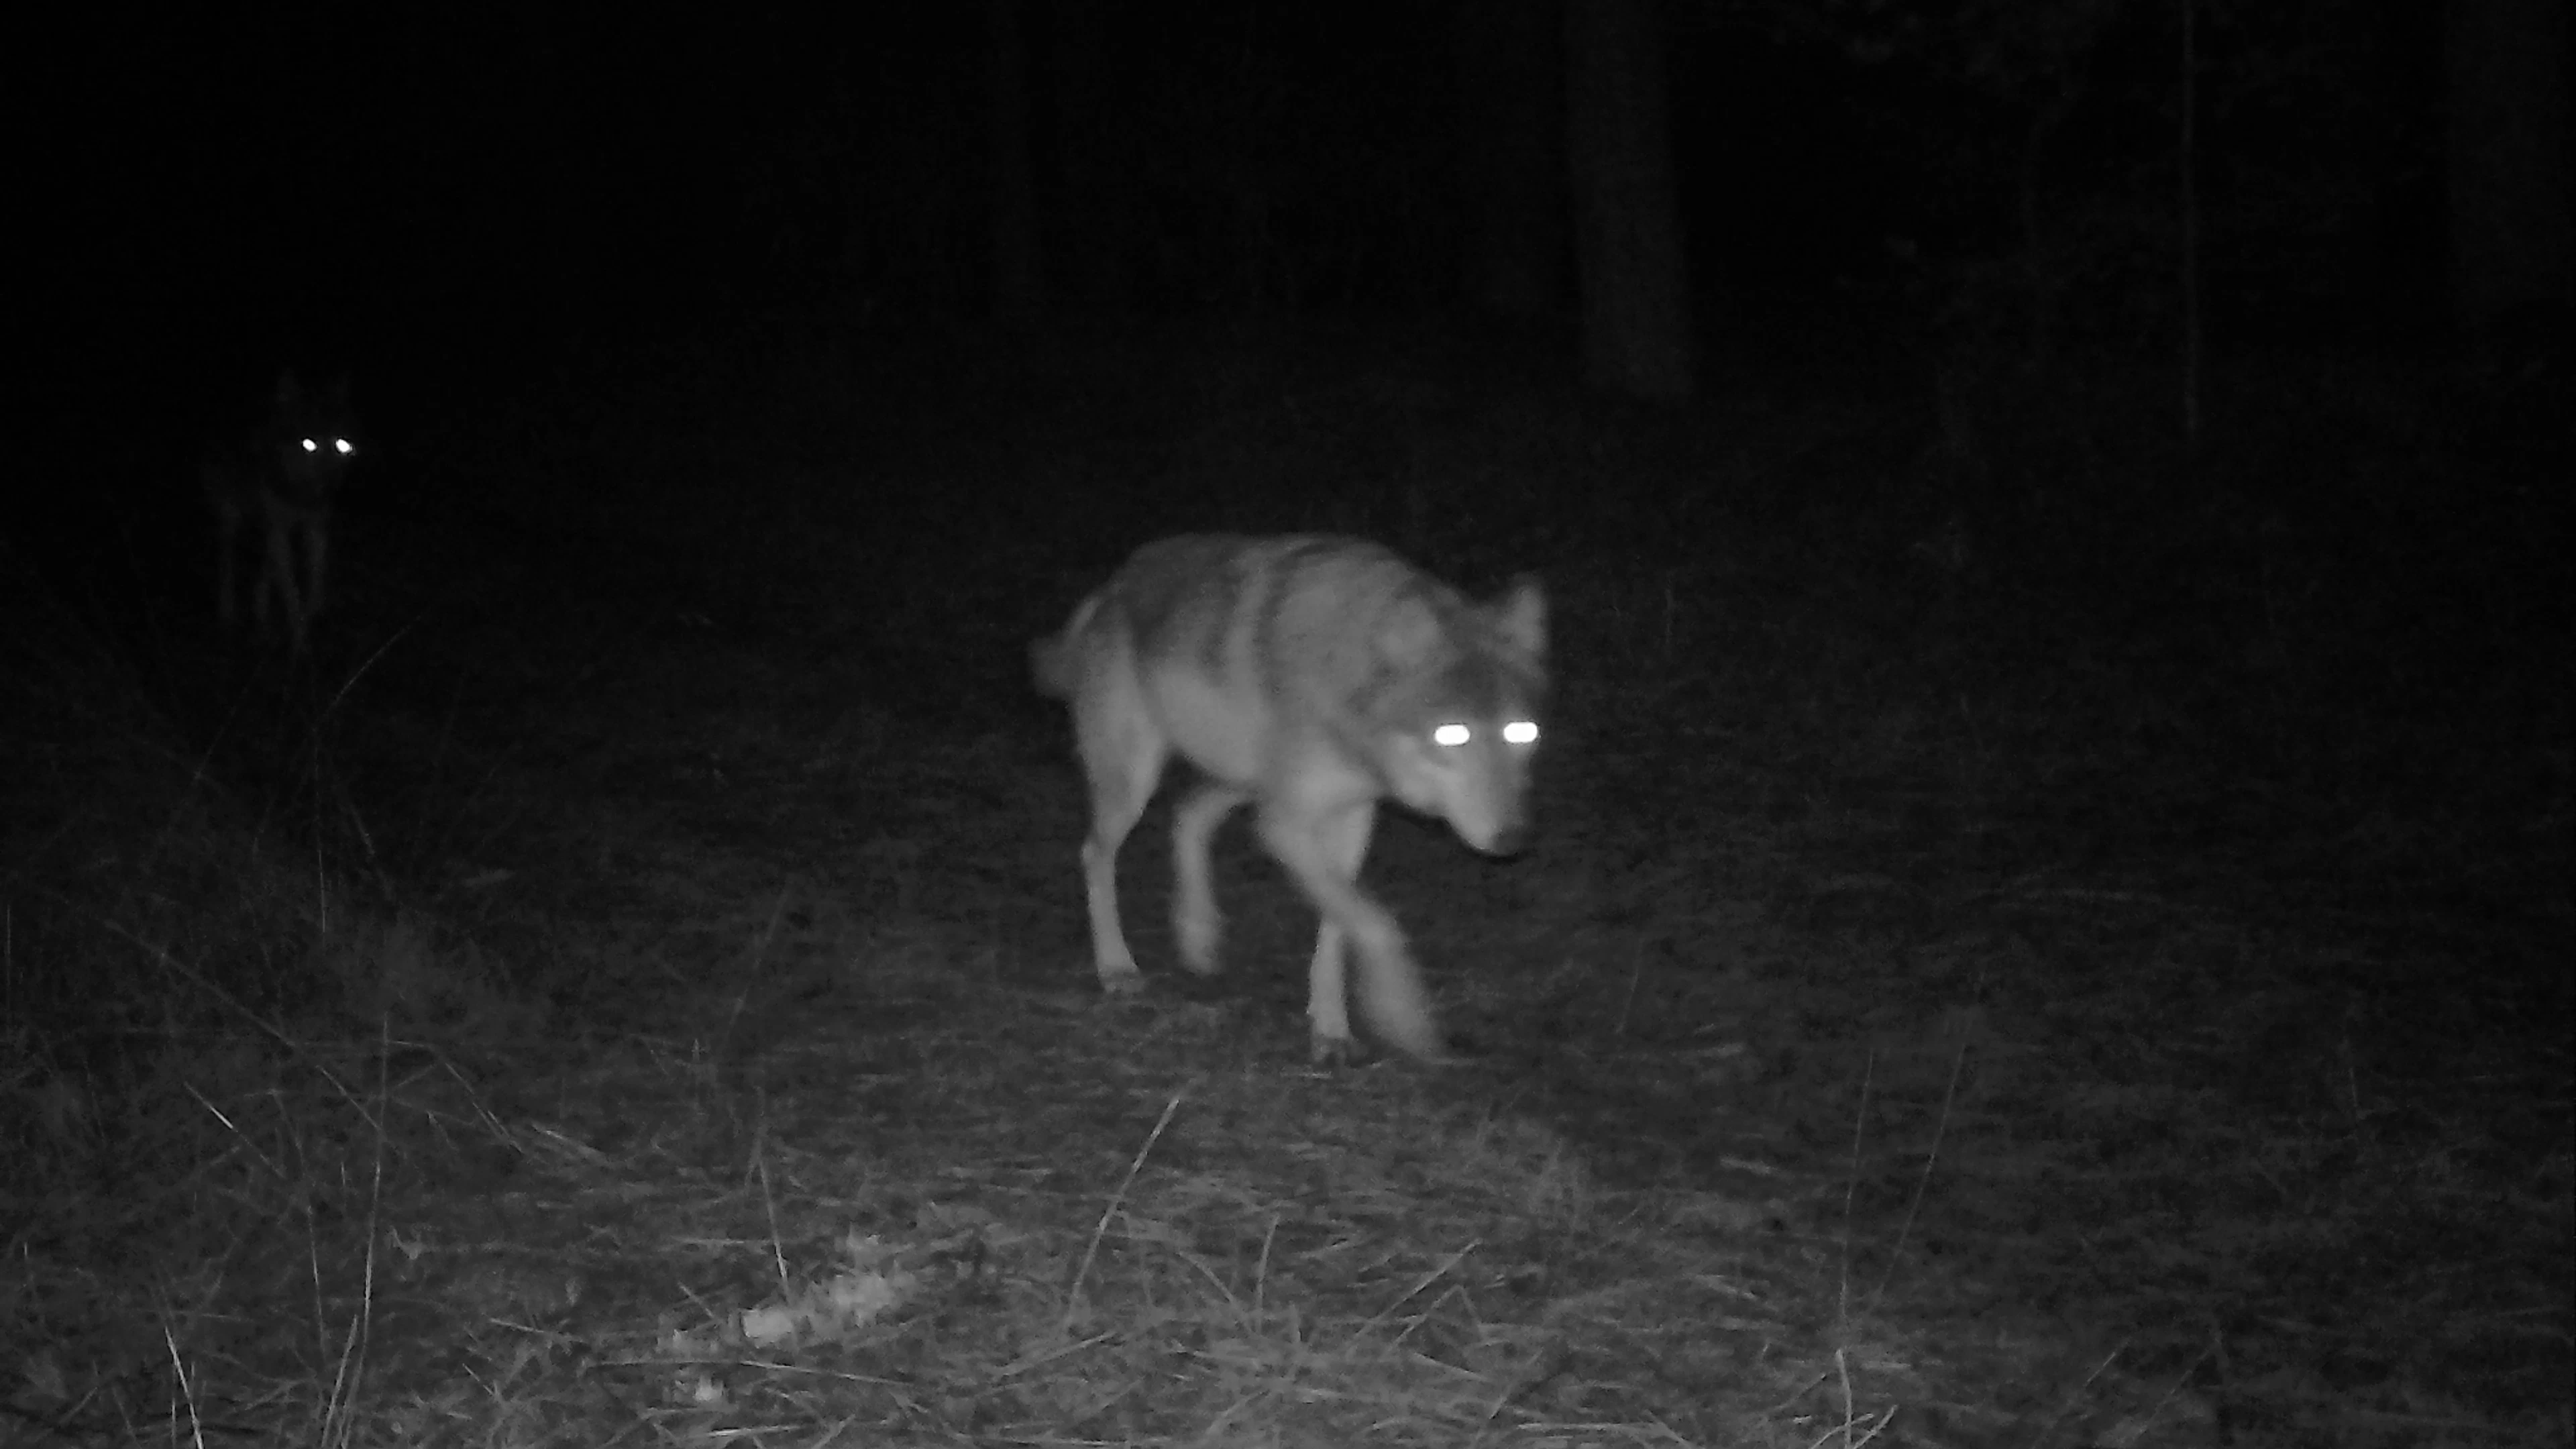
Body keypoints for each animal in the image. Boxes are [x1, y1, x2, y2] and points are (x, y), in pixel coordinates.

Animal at [204, 372, 361, 654]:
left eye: (341, 445)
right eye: (308, 445)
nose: (328, 485)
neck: (300, 493)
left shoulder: (315, 528)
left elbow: (316, 582)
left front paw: (311, 617)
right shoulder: (279, 528)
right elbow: (291, 592)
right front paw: (300, 641)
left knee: (265, 567)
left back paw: (261, 615)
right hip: (231, 515)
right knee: (227, 559)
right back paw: (228, 613)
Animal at [1032, 534, 1547, 1064]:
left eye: (1523, 732)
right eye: (1451, 735)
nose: (1515, 838)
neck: (1346, 674)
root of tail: (1113, 585)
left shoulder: (1353, 817)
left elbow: (1341, 926)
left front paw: (1331, 1026)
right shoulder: (1286, 825)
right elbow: (1378, 924)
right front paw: (1402, 1015)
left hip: (1243, 779)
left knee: (1189, 812)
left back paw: (1198, 937)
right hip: (1137, 786)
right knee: (1097, 854)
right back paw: (1117, 966)